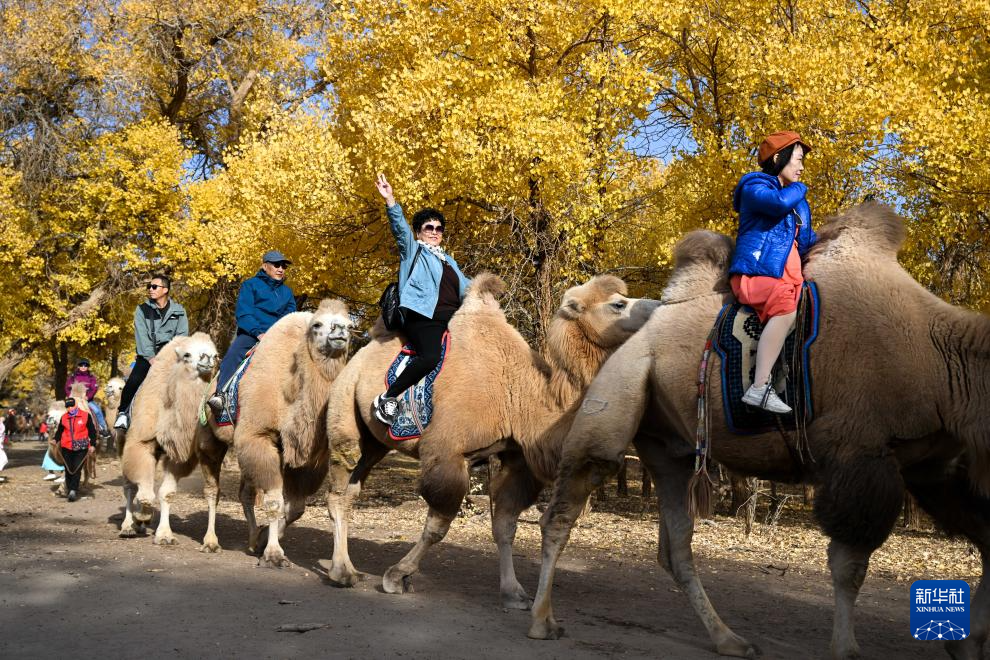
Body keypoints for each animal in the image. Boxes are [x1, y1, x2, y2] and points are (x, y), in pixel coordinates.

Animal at [119, 332, 218, 544]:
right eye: (187, 355)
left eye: (216, 355)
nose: (207, 358)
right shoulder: (141, 442)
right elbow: (145, 491)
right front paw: (143, 516)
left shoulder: (178, 454)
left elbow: (166, 493)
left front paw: (163, 534)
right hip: (121, 441)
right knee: (129, 486)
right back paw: (128, 526)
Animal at [196, 300, 354, 564]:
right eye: (317, 325)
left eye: (351, 325)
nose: (341, 330)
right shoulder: (258, 436)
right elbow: (273, 501)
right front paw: (273, 553)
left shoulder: (305, 456)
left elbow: (296, 507)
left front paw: (262, 541)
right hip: (211, 437)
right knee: (212, 489)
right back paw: (210, 542)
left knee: (245, 493)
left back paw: (251, 540)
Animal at [330, 270, 664, 600]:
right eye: (618, 304)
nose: (659, 306)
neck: (521, 395)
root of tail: (360, 354)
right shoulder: (446, 452)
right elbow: (438, 526)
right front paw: (397, 576)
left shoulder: (516, 458)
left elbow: (505, 525)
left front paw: (513, 591)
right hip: (345, 409)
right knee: (339, 486)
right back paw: (342, 573)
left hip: (375, 443)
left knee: (351, 490)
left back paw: (347, 569)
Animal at [532, 202, 990, 660]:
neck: (939, 360)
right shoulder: (859, 453)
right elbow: (850, 567)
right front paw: (846, 648)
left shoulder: (931, 467)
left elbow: (986, 539)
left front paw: (968, 644)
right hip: (617, 397)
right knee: (561, 513)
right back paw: (543, 621)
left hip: (668, 446)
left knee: (676, 547)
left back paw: (729, 639)